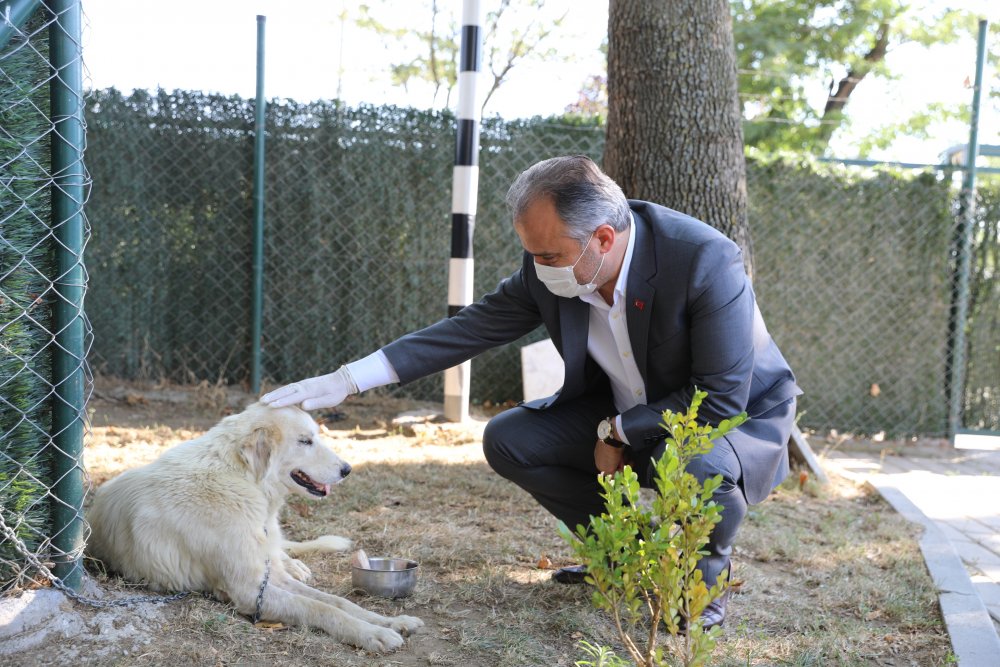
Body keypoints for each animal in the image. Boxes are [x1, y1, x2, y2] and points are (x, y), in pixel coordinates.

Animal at [87, 402, 426, 652]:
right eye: (305, 441)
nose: (347, 469)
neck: (243, 481)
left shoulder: (269, 577)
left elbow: (337, 601)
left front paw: (391, 621)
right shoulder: (249, 591)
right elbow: (321, 608)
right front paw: (372, 634)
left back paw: (296, 565)